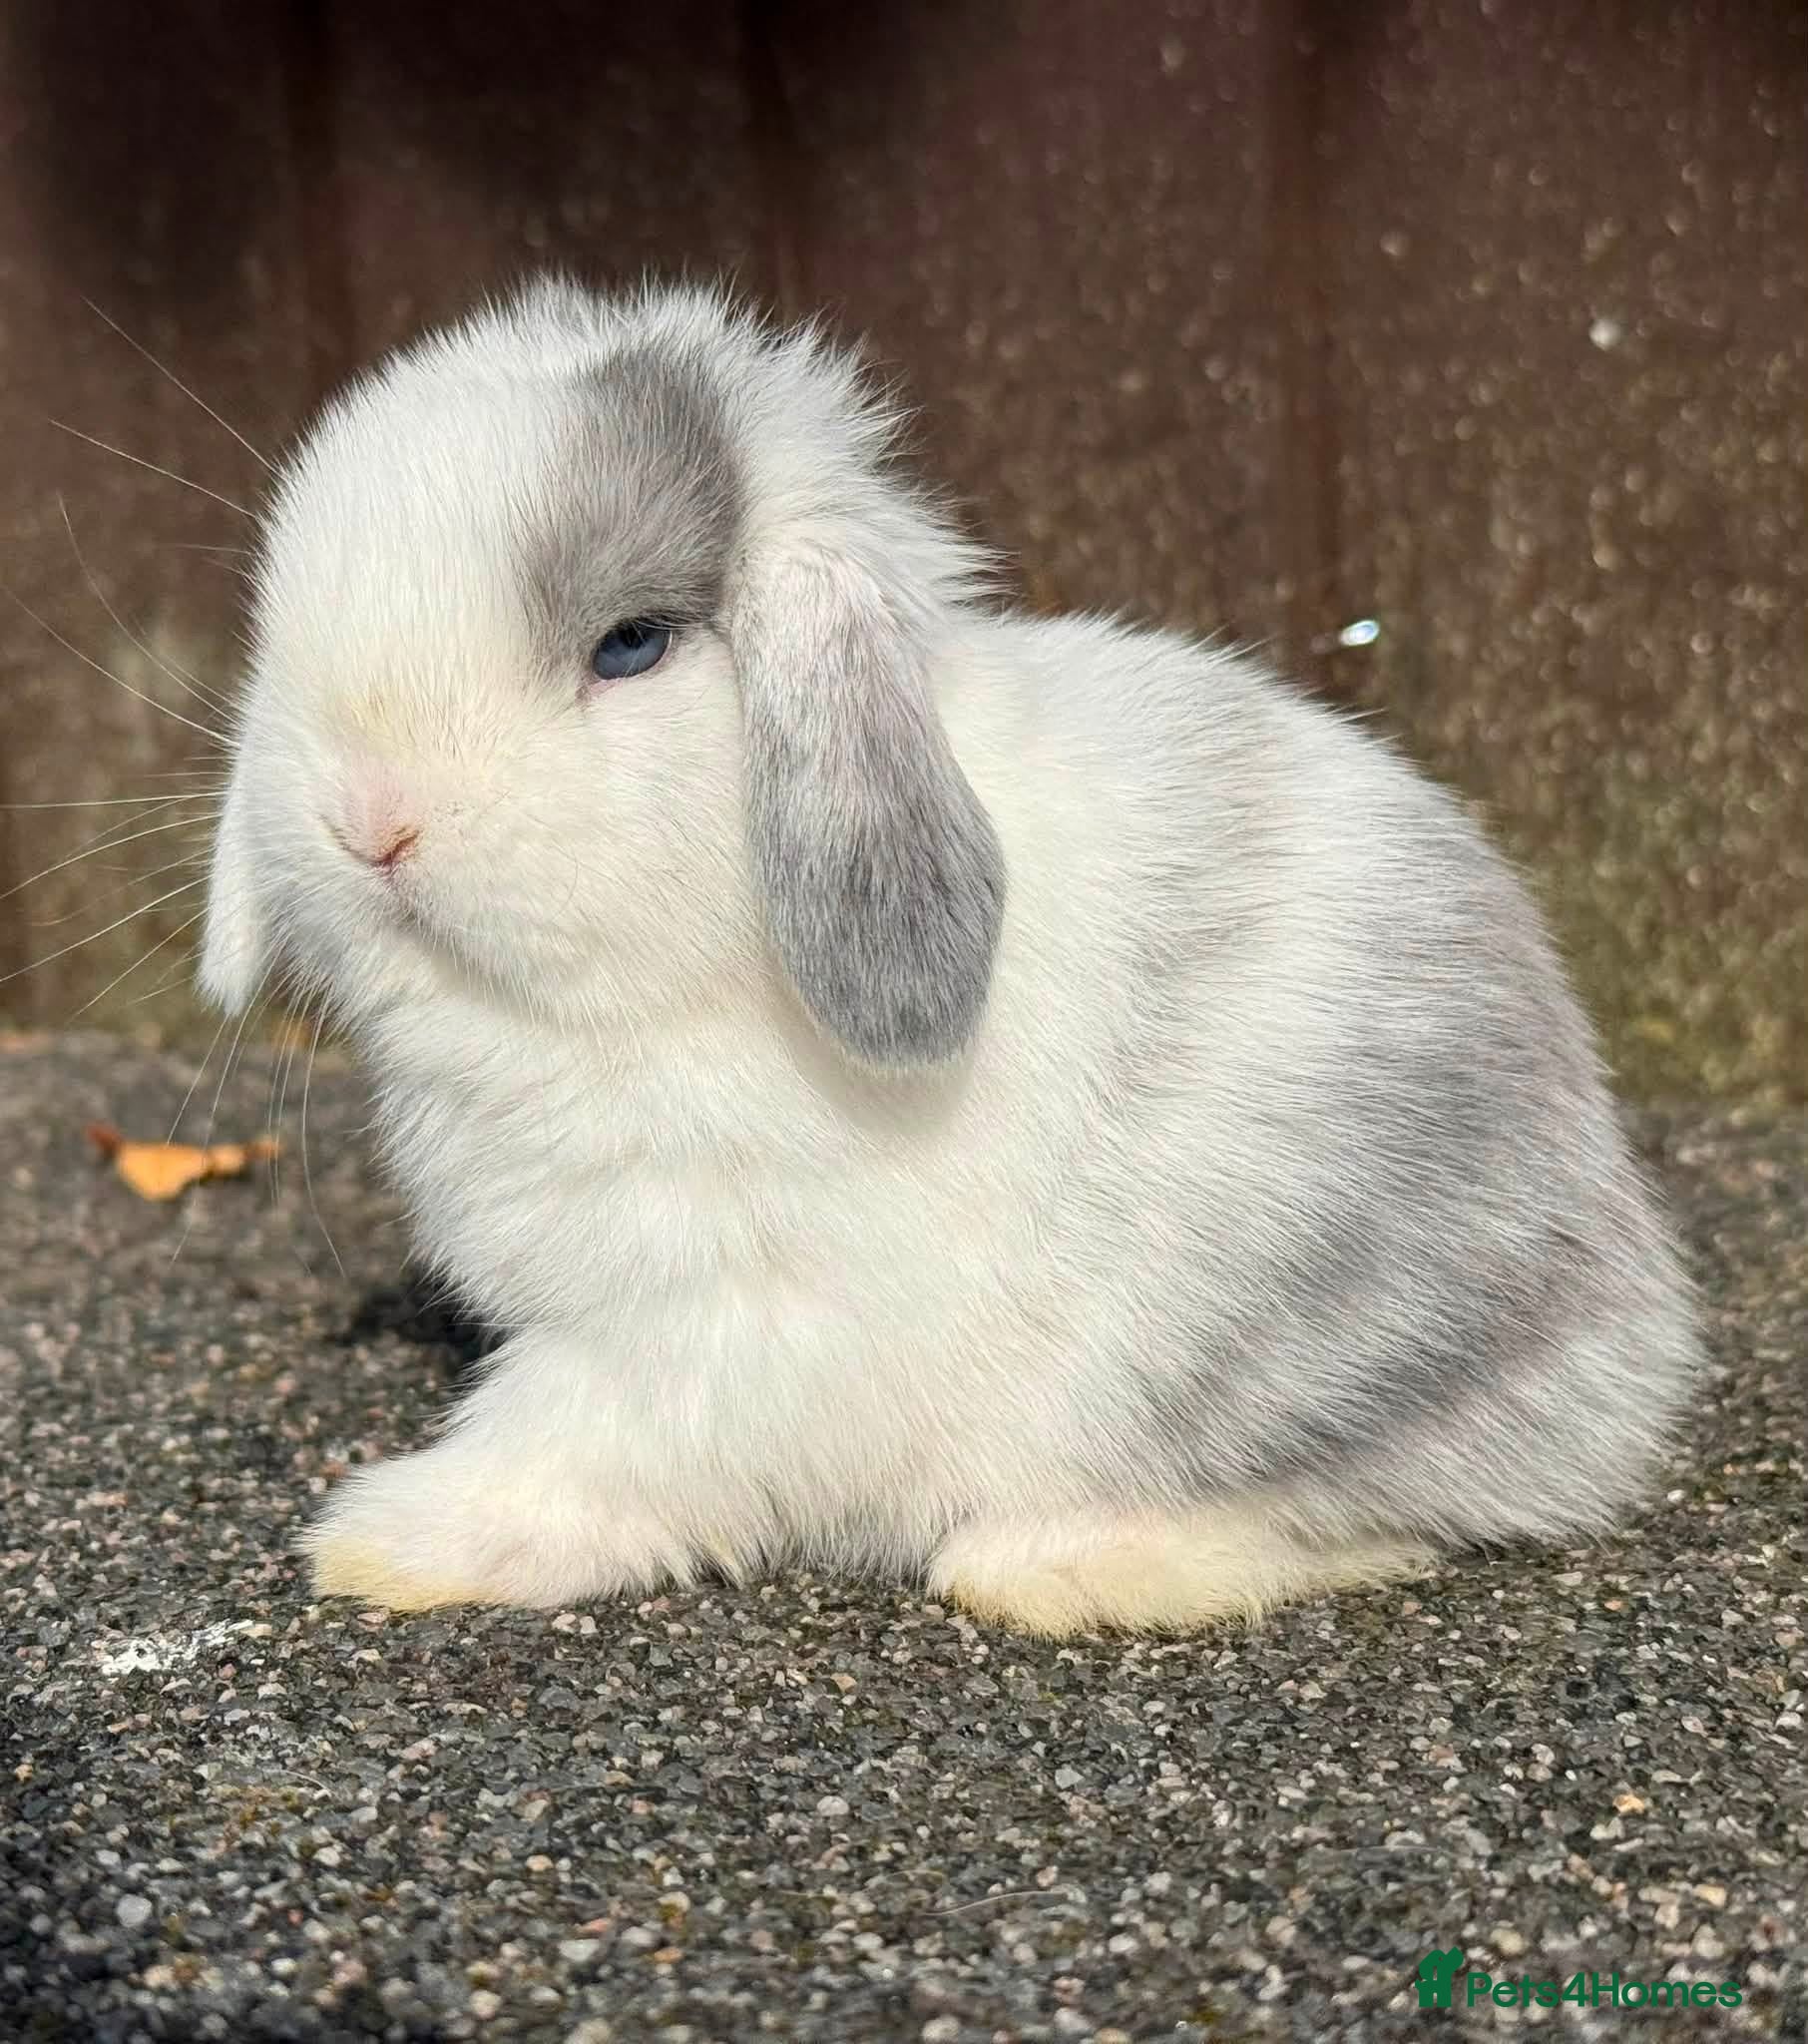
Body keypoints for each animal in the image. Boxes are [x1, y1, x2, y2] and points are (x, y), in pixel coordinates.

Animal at [198, 277, 1699, 1634]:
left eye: (632, 645)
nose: (369, 822)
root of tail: (1636, 1322)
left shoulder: (699, 1331)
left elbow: (573, 1445)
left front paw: (389, 1540)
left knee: (1383, 1508)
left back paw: (1060, 1567)